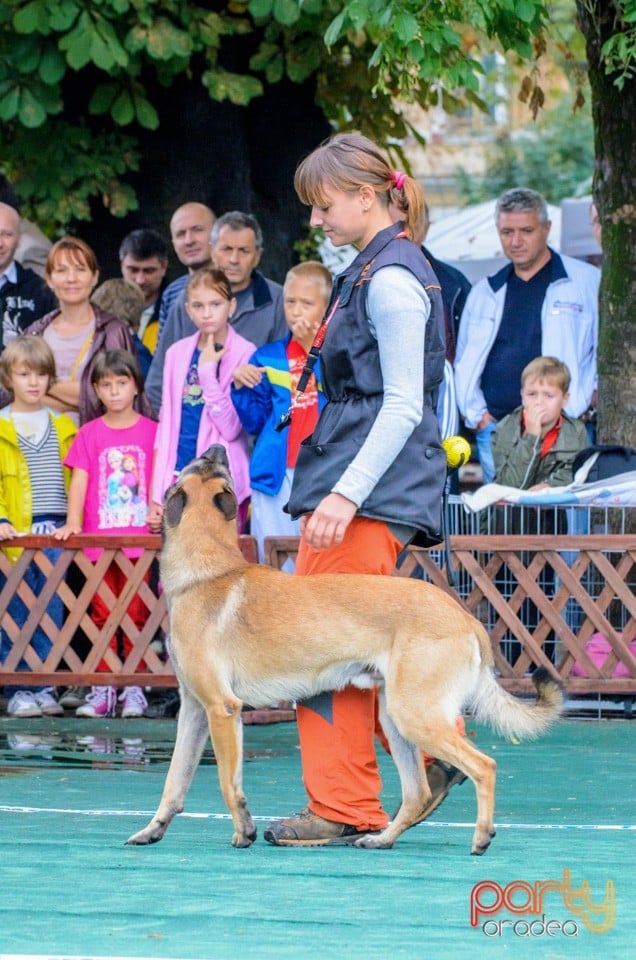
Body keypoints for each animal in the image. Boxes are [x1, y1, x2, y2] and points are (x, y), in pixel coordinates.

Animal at [125, 446, 560, 852]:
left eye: (201, 463)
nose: (215, 447)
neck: (209, 571)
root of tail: (466, 618)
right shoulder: (194, 712)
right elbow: (174, 784)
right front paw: (152, 830)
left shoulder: (222, 709)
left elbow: (227, 783)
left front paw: (243, 831)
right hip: (394, 718)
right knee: (417, 791)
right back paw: (381, 839)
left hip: (413, 715)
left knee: (483, 766)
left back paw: (481, 836)